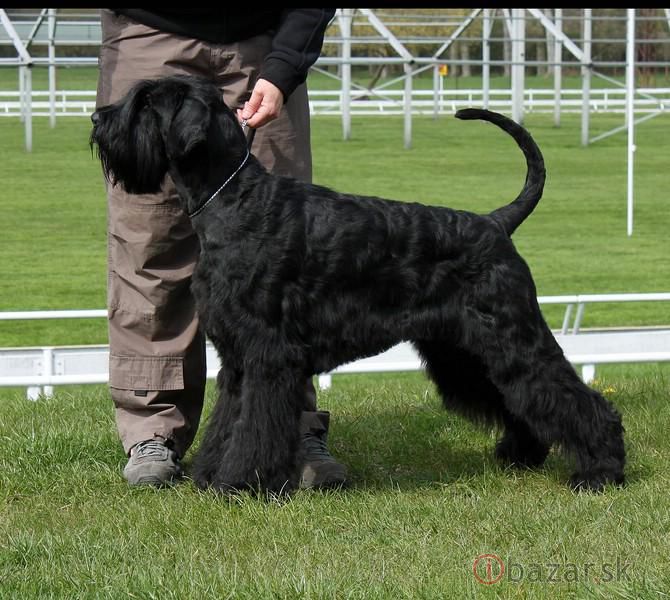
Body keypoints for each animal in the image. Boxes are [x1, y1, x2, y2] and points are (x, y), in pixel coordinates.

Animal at [91, 75, 625, 495]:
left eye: (146, 102)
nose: (98, 119)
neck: (234, 201)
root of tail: (496, 223)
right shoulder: (237, 358)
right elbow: (228, 419)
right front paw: (210, 475)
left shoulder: (268, 355)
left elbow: (254, 426)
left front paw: (237, 483)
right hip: (465, 351)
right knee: (519, 398)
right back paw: (522, 454)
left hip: (511, 338)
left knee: (573, 397)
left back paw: (601, 471)